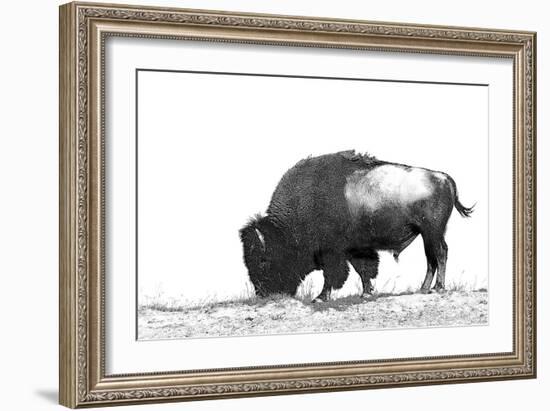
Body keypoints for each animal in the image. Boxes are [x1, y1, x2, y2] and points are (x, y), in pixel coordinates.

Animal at [240, 151, 474, 302]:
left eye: (263, 260)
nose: (262, 293)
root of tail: (444, 178)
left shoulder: (332, 253)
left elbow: (333, 275)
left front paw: (321, 298)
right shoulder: (355, 249)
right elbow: (364, 270)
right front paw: (367, 293)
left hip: (433, 232)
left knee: (440, 254)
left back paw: (437, 288)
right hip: (426, 234)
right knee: (431, 259)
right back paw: (423, 288)